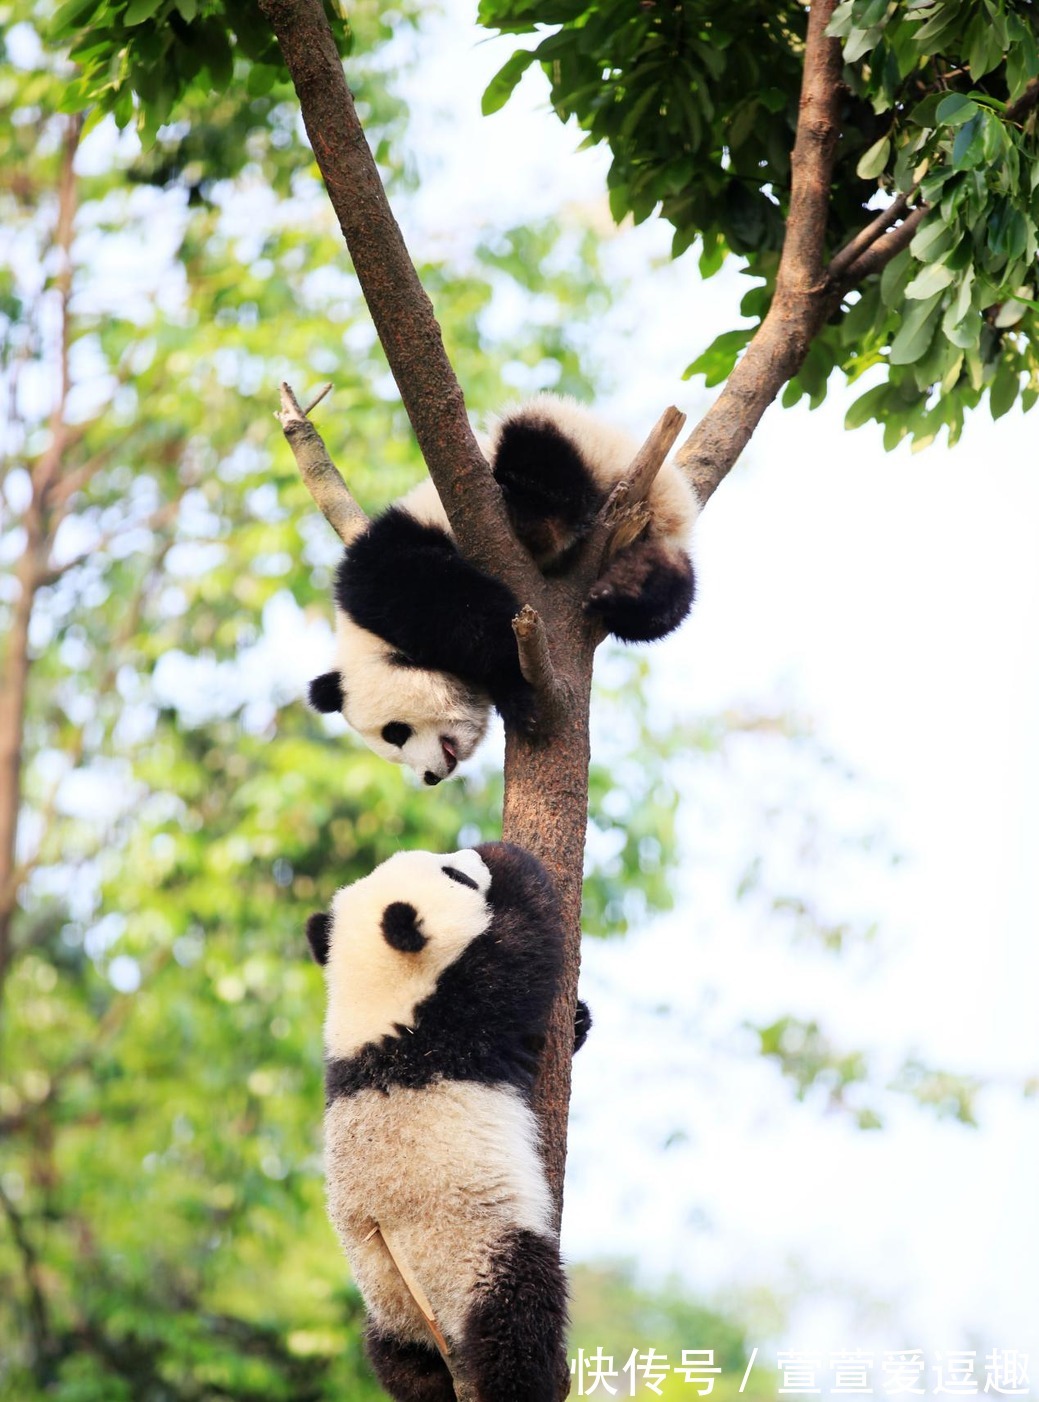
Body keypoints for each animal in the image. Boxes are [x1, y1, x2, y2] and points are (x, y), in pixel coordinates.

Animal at [304, 841, 588, 1402]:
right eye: (455, 874)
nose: (470, 856)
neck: (373, 1003)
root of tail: (430, 1329)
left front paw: (581, 1020)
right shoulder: (450, 1020)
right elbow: (519, 953)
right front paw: (511, 862)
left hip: (387, 1306)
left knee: (397, 1362)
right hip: (470, 1256)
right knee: (518, 1313)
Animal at [308, 395, 698, 785]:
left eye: (395, 732)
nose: (429, 777)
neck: (363, 635)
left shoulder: (385, 567)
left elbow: (446, 603)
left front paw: (517, 686)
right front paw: (512, 696)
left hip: (583, 441)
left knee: (535, 447)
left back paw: (535, 520)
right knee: (667, 596)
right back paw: (628, 590)